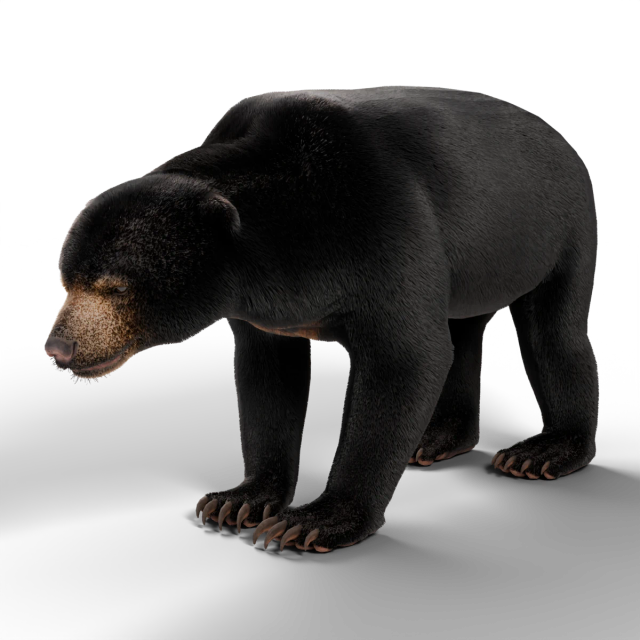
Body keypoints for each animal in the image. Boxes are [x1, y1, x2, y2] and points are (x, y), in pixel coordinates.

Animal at [45, 86, 599, 552]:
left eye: (116, 287)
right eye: (66, 280)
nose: (59, 347)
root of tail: (560, 137)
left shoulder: (387, 225)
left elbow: (405, 360)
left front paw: (315, 521)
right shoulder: (261, 311)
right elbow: (268, 377)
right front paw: (236, 500)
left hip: (560, 230)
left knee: (555, 333)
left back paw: (541, 452)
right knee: (465, 330)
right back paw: (438, 436)